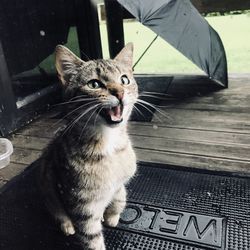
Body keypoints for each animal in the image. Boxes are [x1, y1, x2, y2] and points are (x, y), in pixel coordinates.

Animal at [38, 44, 138, 249]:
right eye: (94, 84)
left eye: (124, 79)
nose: (120, 92)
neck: (110, 146)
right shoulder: (81, 207)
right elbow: (92, 239)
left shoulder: (119, 184)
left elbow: (119, 197)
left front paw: (112, 216)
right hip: (48, 191)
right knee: (57, 212)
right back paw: (67, 225)